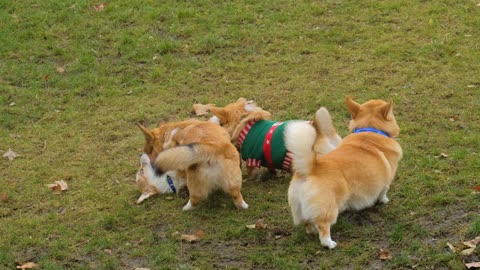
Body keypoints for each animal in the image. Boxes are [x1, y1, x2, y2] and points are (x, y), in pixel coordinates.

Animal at [204, 98, 344, 180]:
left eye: (221, 123)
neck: (245, 124)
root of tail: (323, 132)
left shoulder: (252, 159)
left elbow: (252, 173)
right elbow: (270, 166)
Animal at [286, 96, 404, 249]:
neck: (370, 129)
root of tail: (311, 168)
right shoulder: (386, 181)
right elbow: (383, 192)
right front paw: (384, 201)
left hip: (300, 208)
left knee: (308, 224)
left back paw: (312, 231)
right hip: (329, 210)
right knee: (323, 228)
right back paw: (330, 243)